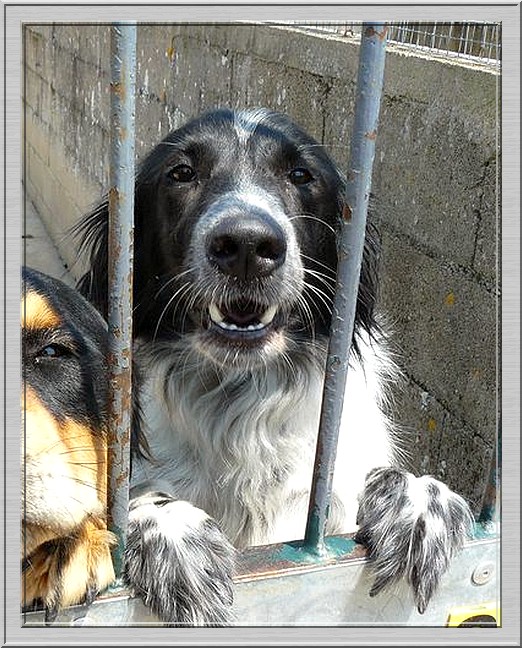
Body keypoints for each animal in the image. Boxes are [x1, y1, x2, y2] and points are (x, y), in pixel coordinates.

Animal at [76, 109, 472, 624]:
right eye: (181, 173)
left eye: (301, 175)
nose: (246, 244)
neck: (241, 403)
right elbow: (130, 500)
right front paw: (174, 531)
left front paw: (418, 500)